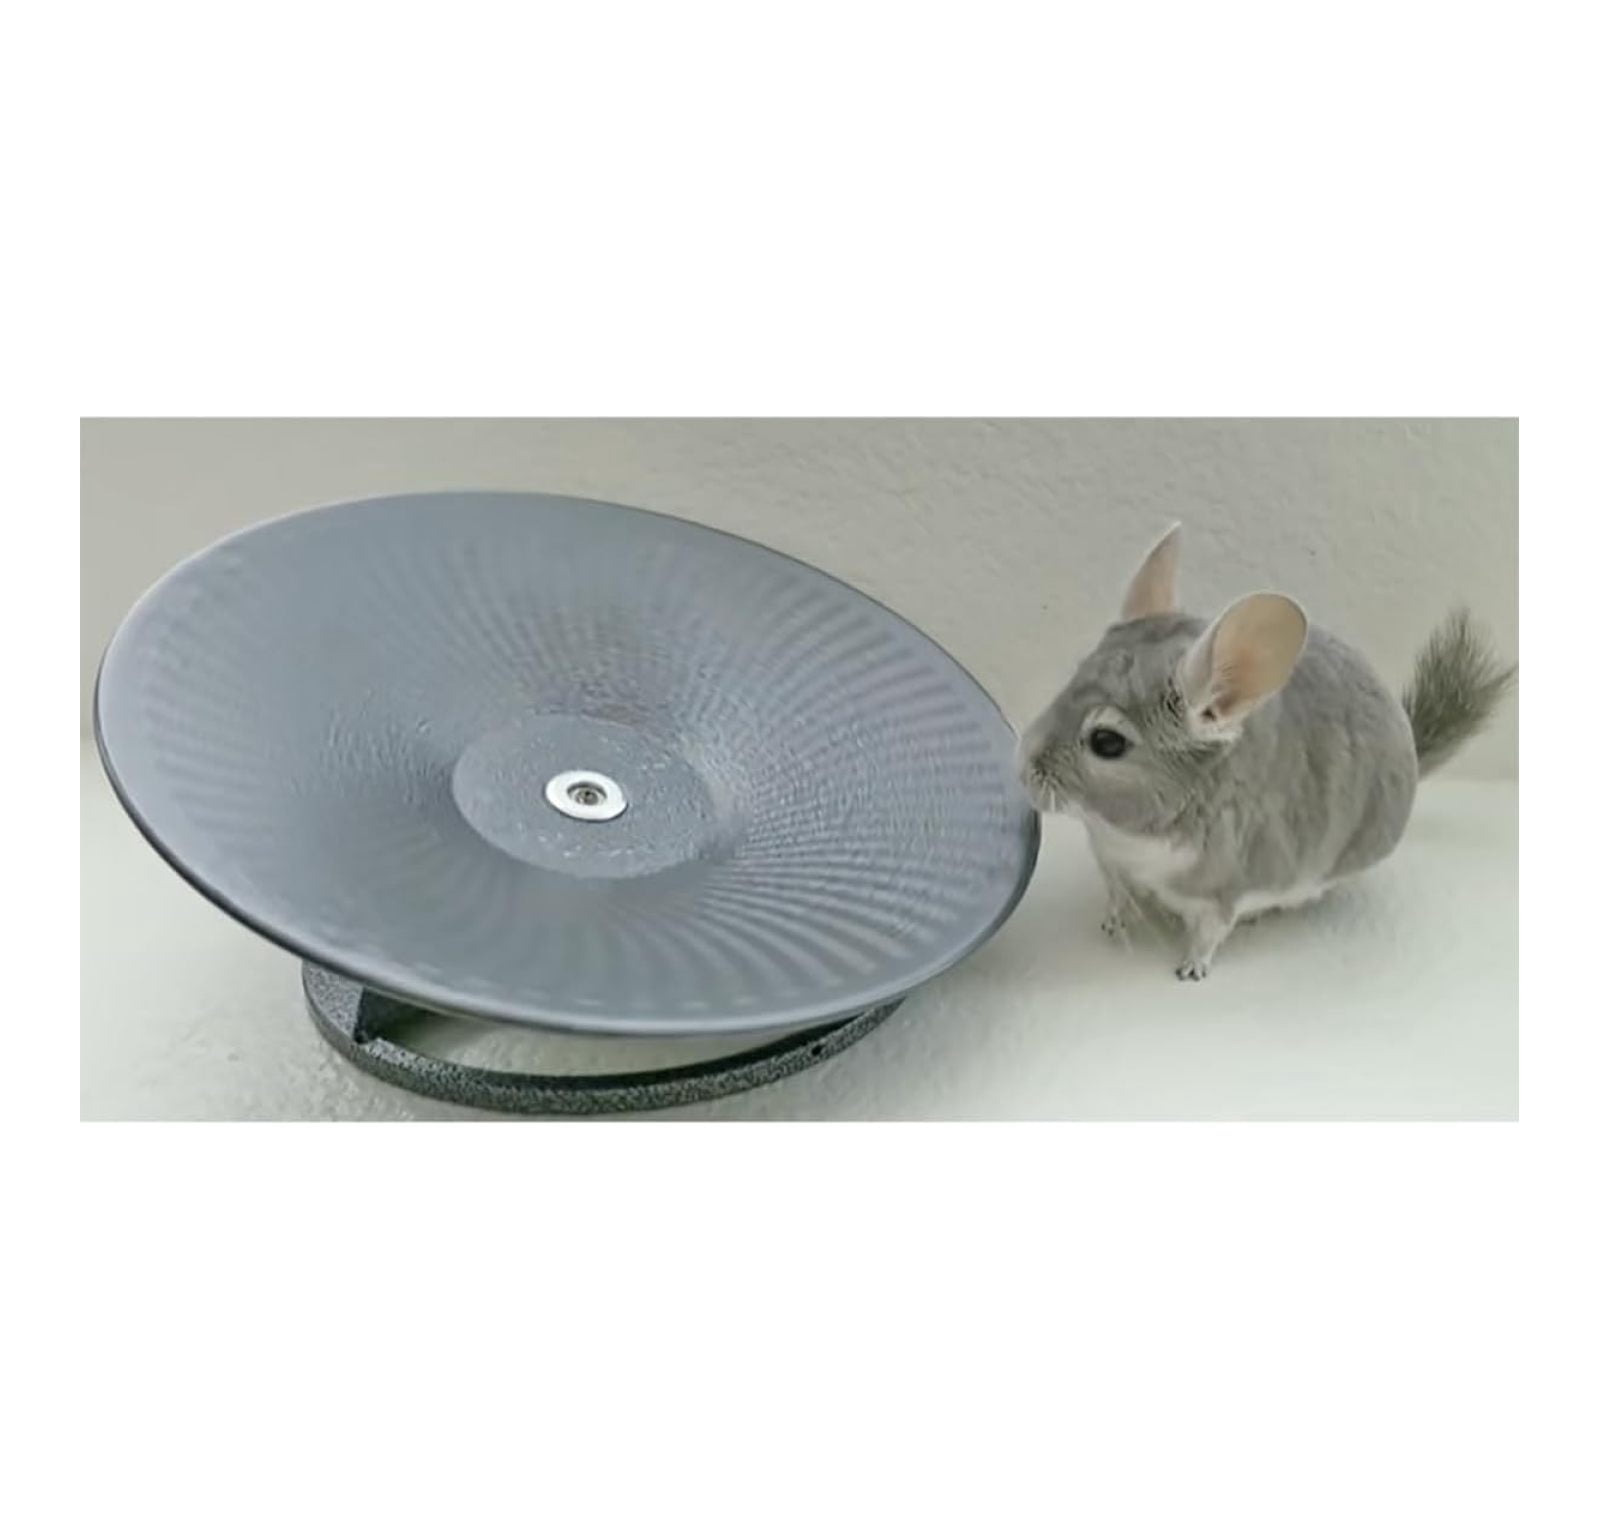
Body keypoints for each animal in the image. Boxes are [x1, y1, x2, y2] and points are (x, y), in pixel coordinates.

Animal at [1016, 525, 1514, 980]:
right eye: (1070, 680)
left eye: (1107, 742)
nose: (1023, 772)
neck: (1127, 834)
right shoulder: (1108, 858)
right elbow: (1117, 893)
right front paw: (1112, 923)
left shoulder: (1222, 891)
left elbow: (1209, 933)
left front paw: (1189, 971)